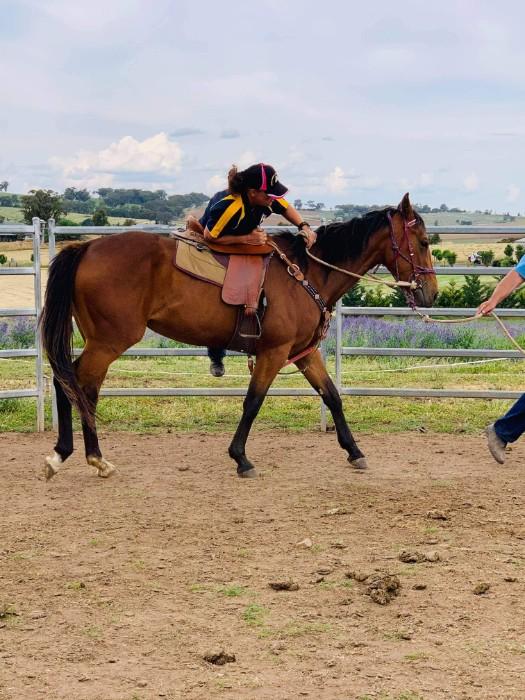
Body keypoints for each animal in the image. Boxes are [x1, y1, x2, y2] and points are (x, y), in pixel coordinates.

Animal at [41, 193, 438, 480]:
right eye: (421, 241)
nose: (431, 292)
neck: (307, 272)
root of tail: (87, 248)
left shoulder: (305, 353)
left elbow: (333, 396)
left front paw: (354, 452)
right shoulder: (273, 353)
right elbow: (253, 402)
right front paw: (241, 458)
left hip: (100, 342)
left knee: (77, 385)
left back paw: (72, 455)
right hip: (109, 342)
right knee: (74, 383)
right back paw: (88, 456)